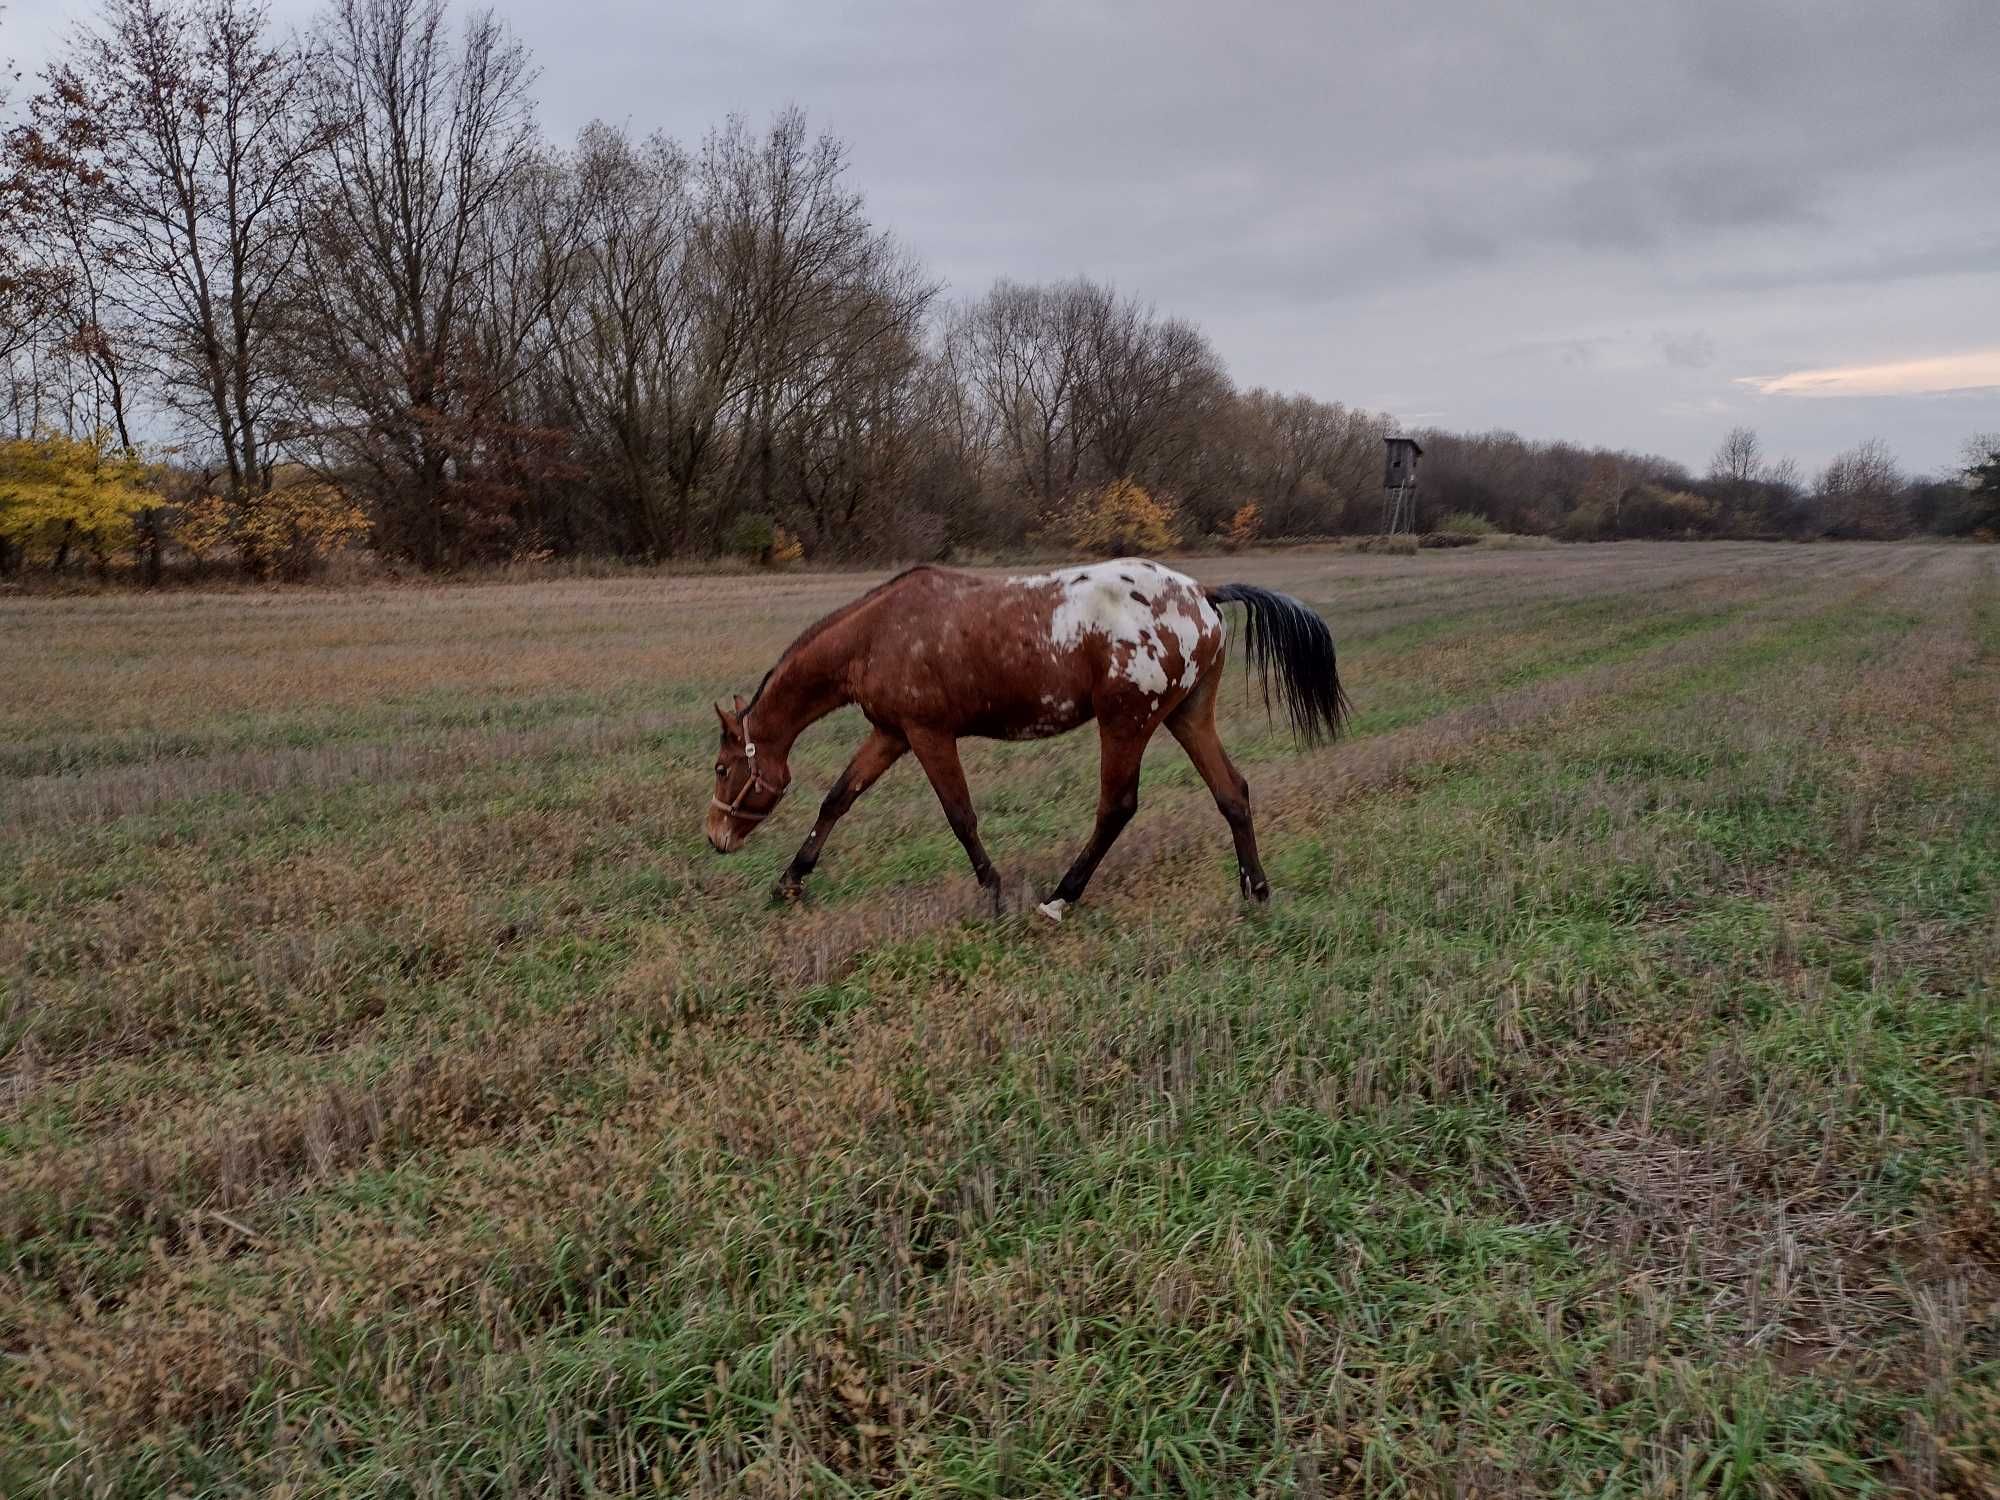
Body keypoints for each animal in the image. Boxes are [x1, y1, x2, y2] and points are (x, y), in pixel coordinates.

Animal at [704, 560, 1344, 924]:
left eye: (720, 768)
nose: (715, 838)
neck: (878, 633)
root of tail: (1201, 593)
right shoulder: (890, 734)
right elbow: (838, 798)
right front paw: (789, 881)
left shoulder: (928, 734)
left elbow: (960, 816)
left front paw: (994, 894)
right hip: (1187, 716)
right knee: (1232, 792)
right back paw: (1256, 892)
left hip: (1126, 722)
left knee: (1117, 807)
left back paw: (1061, 897)